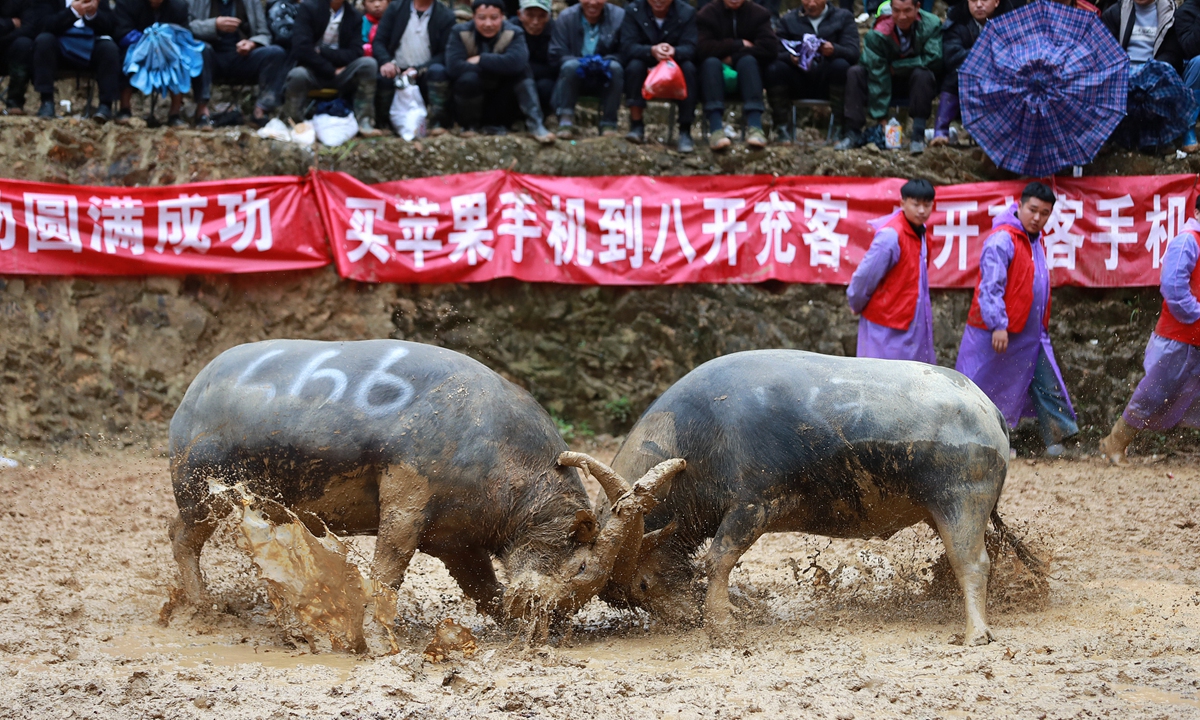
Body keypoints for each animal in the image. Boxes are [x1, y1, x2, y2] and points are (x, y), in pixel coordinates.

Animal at [168, 339, 683, 644]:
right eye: (580, 568)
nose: (549, 623)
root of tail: (194, 391)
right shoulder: (406, 494)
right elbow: (389, 568)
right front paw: (379, 637)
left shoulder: (458, 544)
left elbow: (485, 592)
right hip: (201, 491)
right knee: (180, 537)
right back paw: (203, 607)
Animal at [602, 349, 1039, 646]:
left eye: (642, 584)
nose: (683, 620)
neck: (696, 442)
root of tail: (989, 407)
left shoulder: (752, 505)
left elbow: (717, 559)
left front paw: (720, 625)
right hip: (943, 510)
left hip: (962, 501)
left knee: (972, 562)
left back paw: (976, 632)